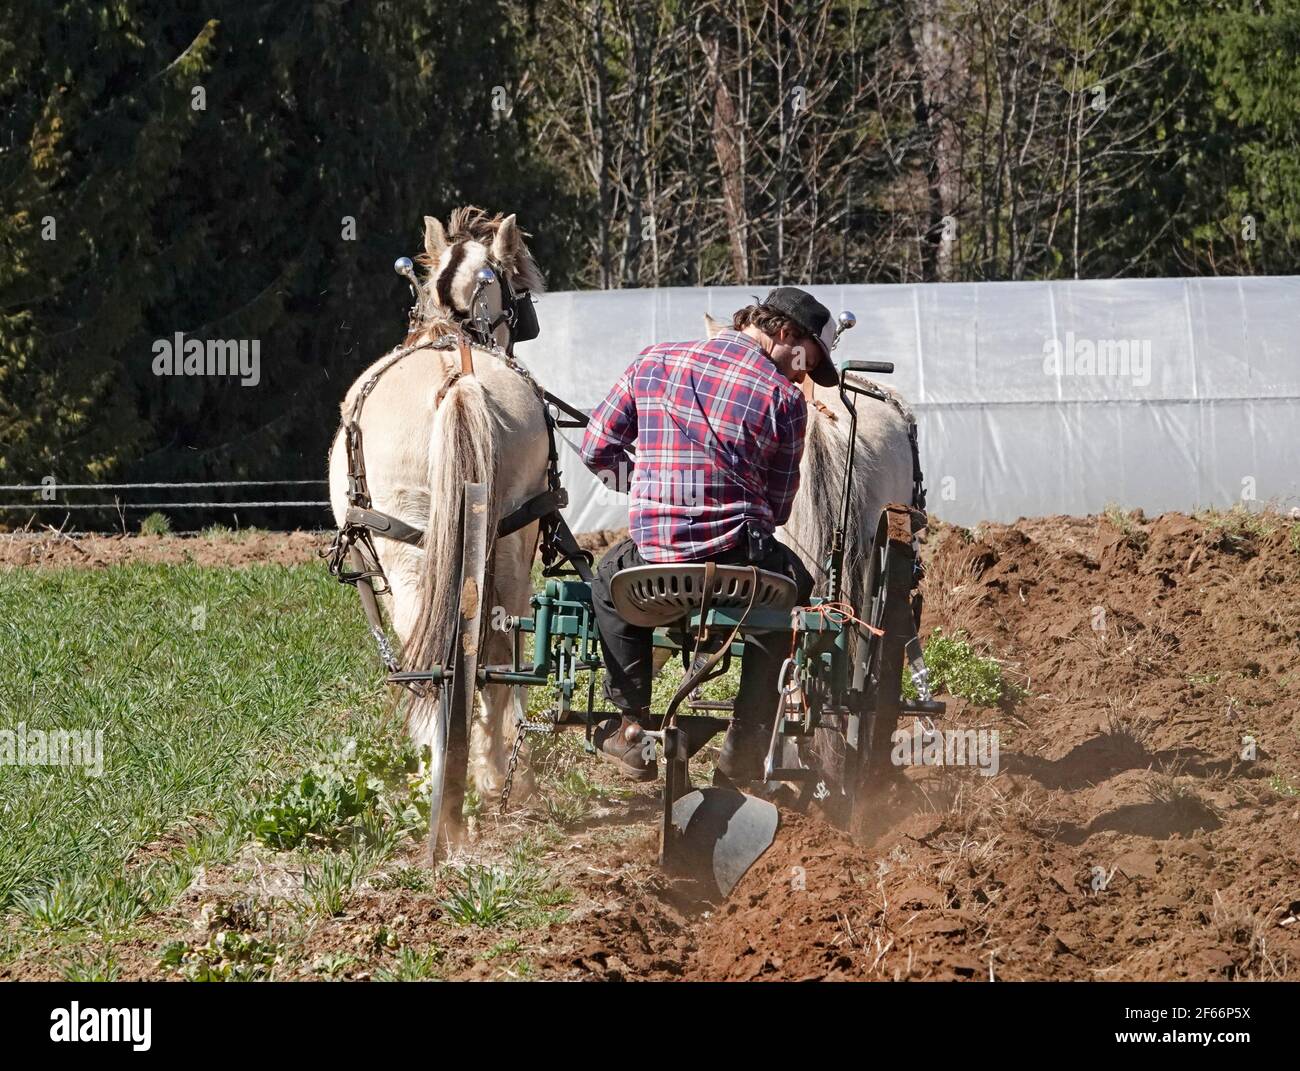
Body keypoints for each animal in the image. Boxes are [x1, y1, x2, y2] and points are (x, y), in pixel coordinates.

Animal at [327, 206, 550, 804]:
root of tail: (457, 382)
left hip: (412, 545)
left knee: (438, 655)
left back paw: (451, 770)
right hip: (505, 536)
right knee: (493, 647)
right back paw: (484, 771)